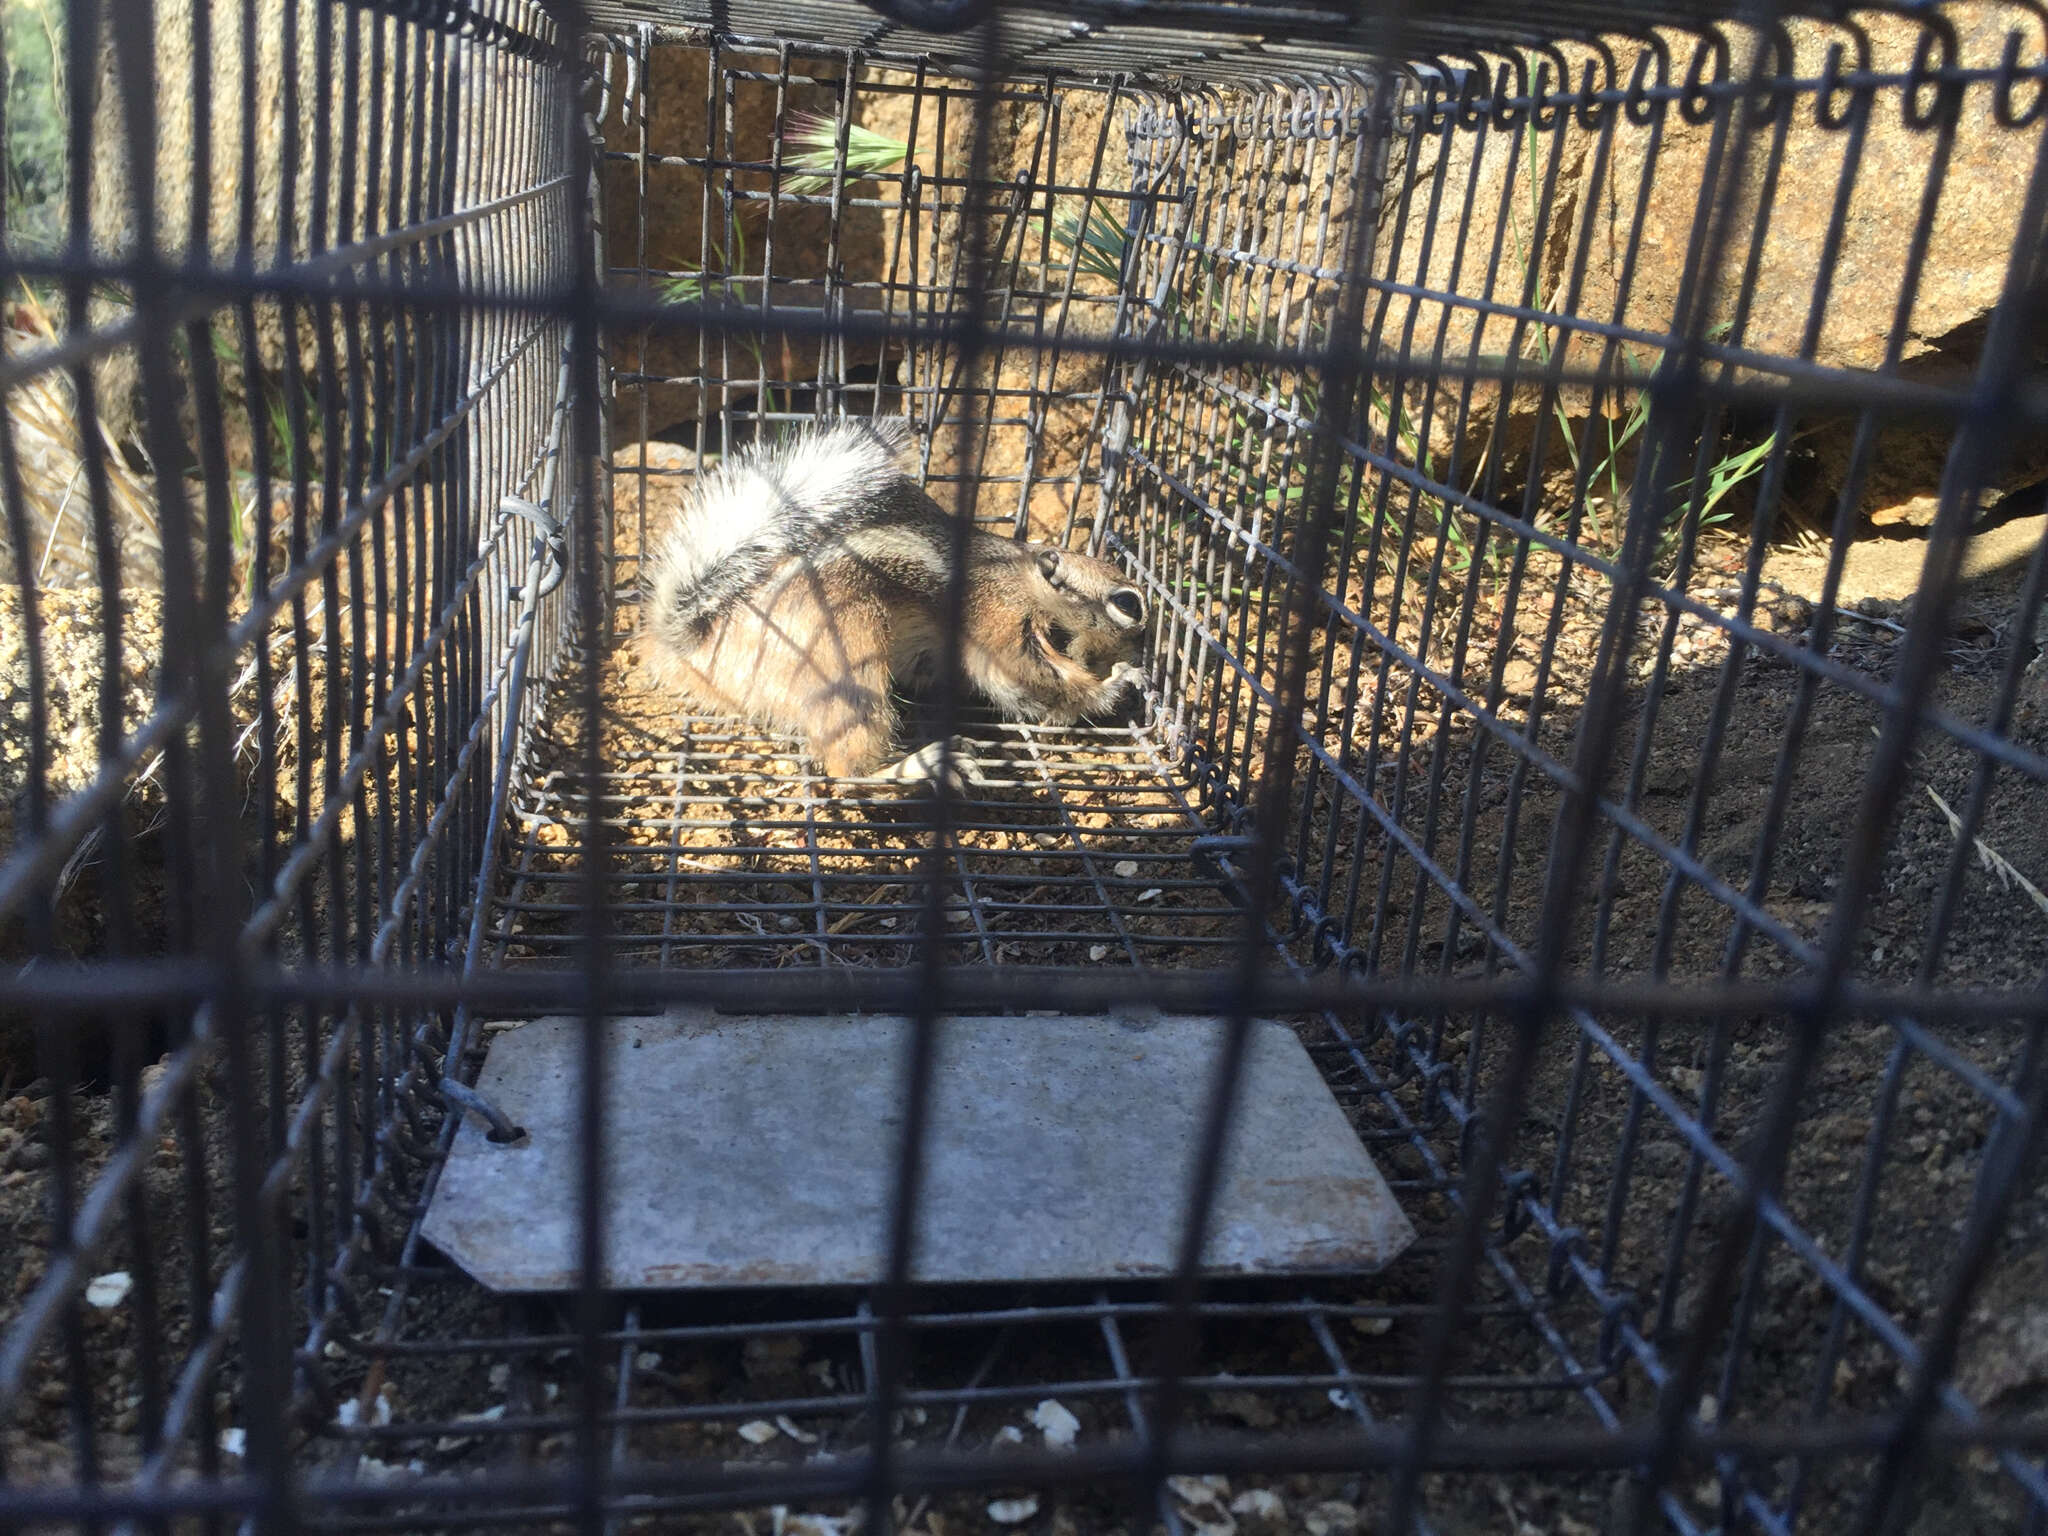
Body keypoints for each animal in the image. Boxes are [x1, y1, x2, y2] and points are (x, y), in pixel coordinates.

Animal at [643, 417, 1155, 786]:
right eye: (1128, 604)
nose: (1140, 649)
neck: (1020, 573)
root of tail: (704, 643)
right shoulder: (998, 620)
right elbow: (1025, 682)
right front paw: (1117, 682)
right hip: (845, 645)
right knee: (847, 768)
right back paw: (918, 767)